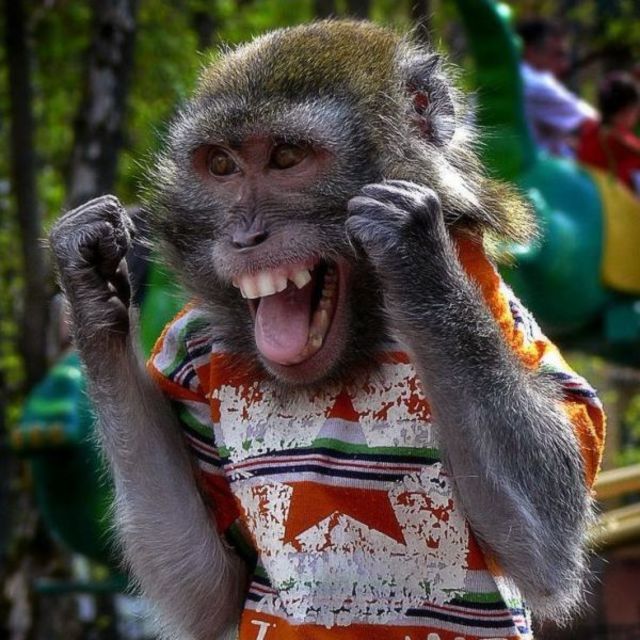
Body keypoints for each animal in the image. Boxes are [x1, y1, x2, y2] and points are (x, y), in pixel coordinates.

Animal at [49, 20, 605, 640]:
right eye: (221, 166)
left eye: (287, 156)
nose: (244, 237)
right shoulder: (184, 349)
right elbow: (205, 584)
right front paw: (89, 287)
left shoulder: (498, 303)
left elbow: (543, 543)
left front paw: (412, 245)